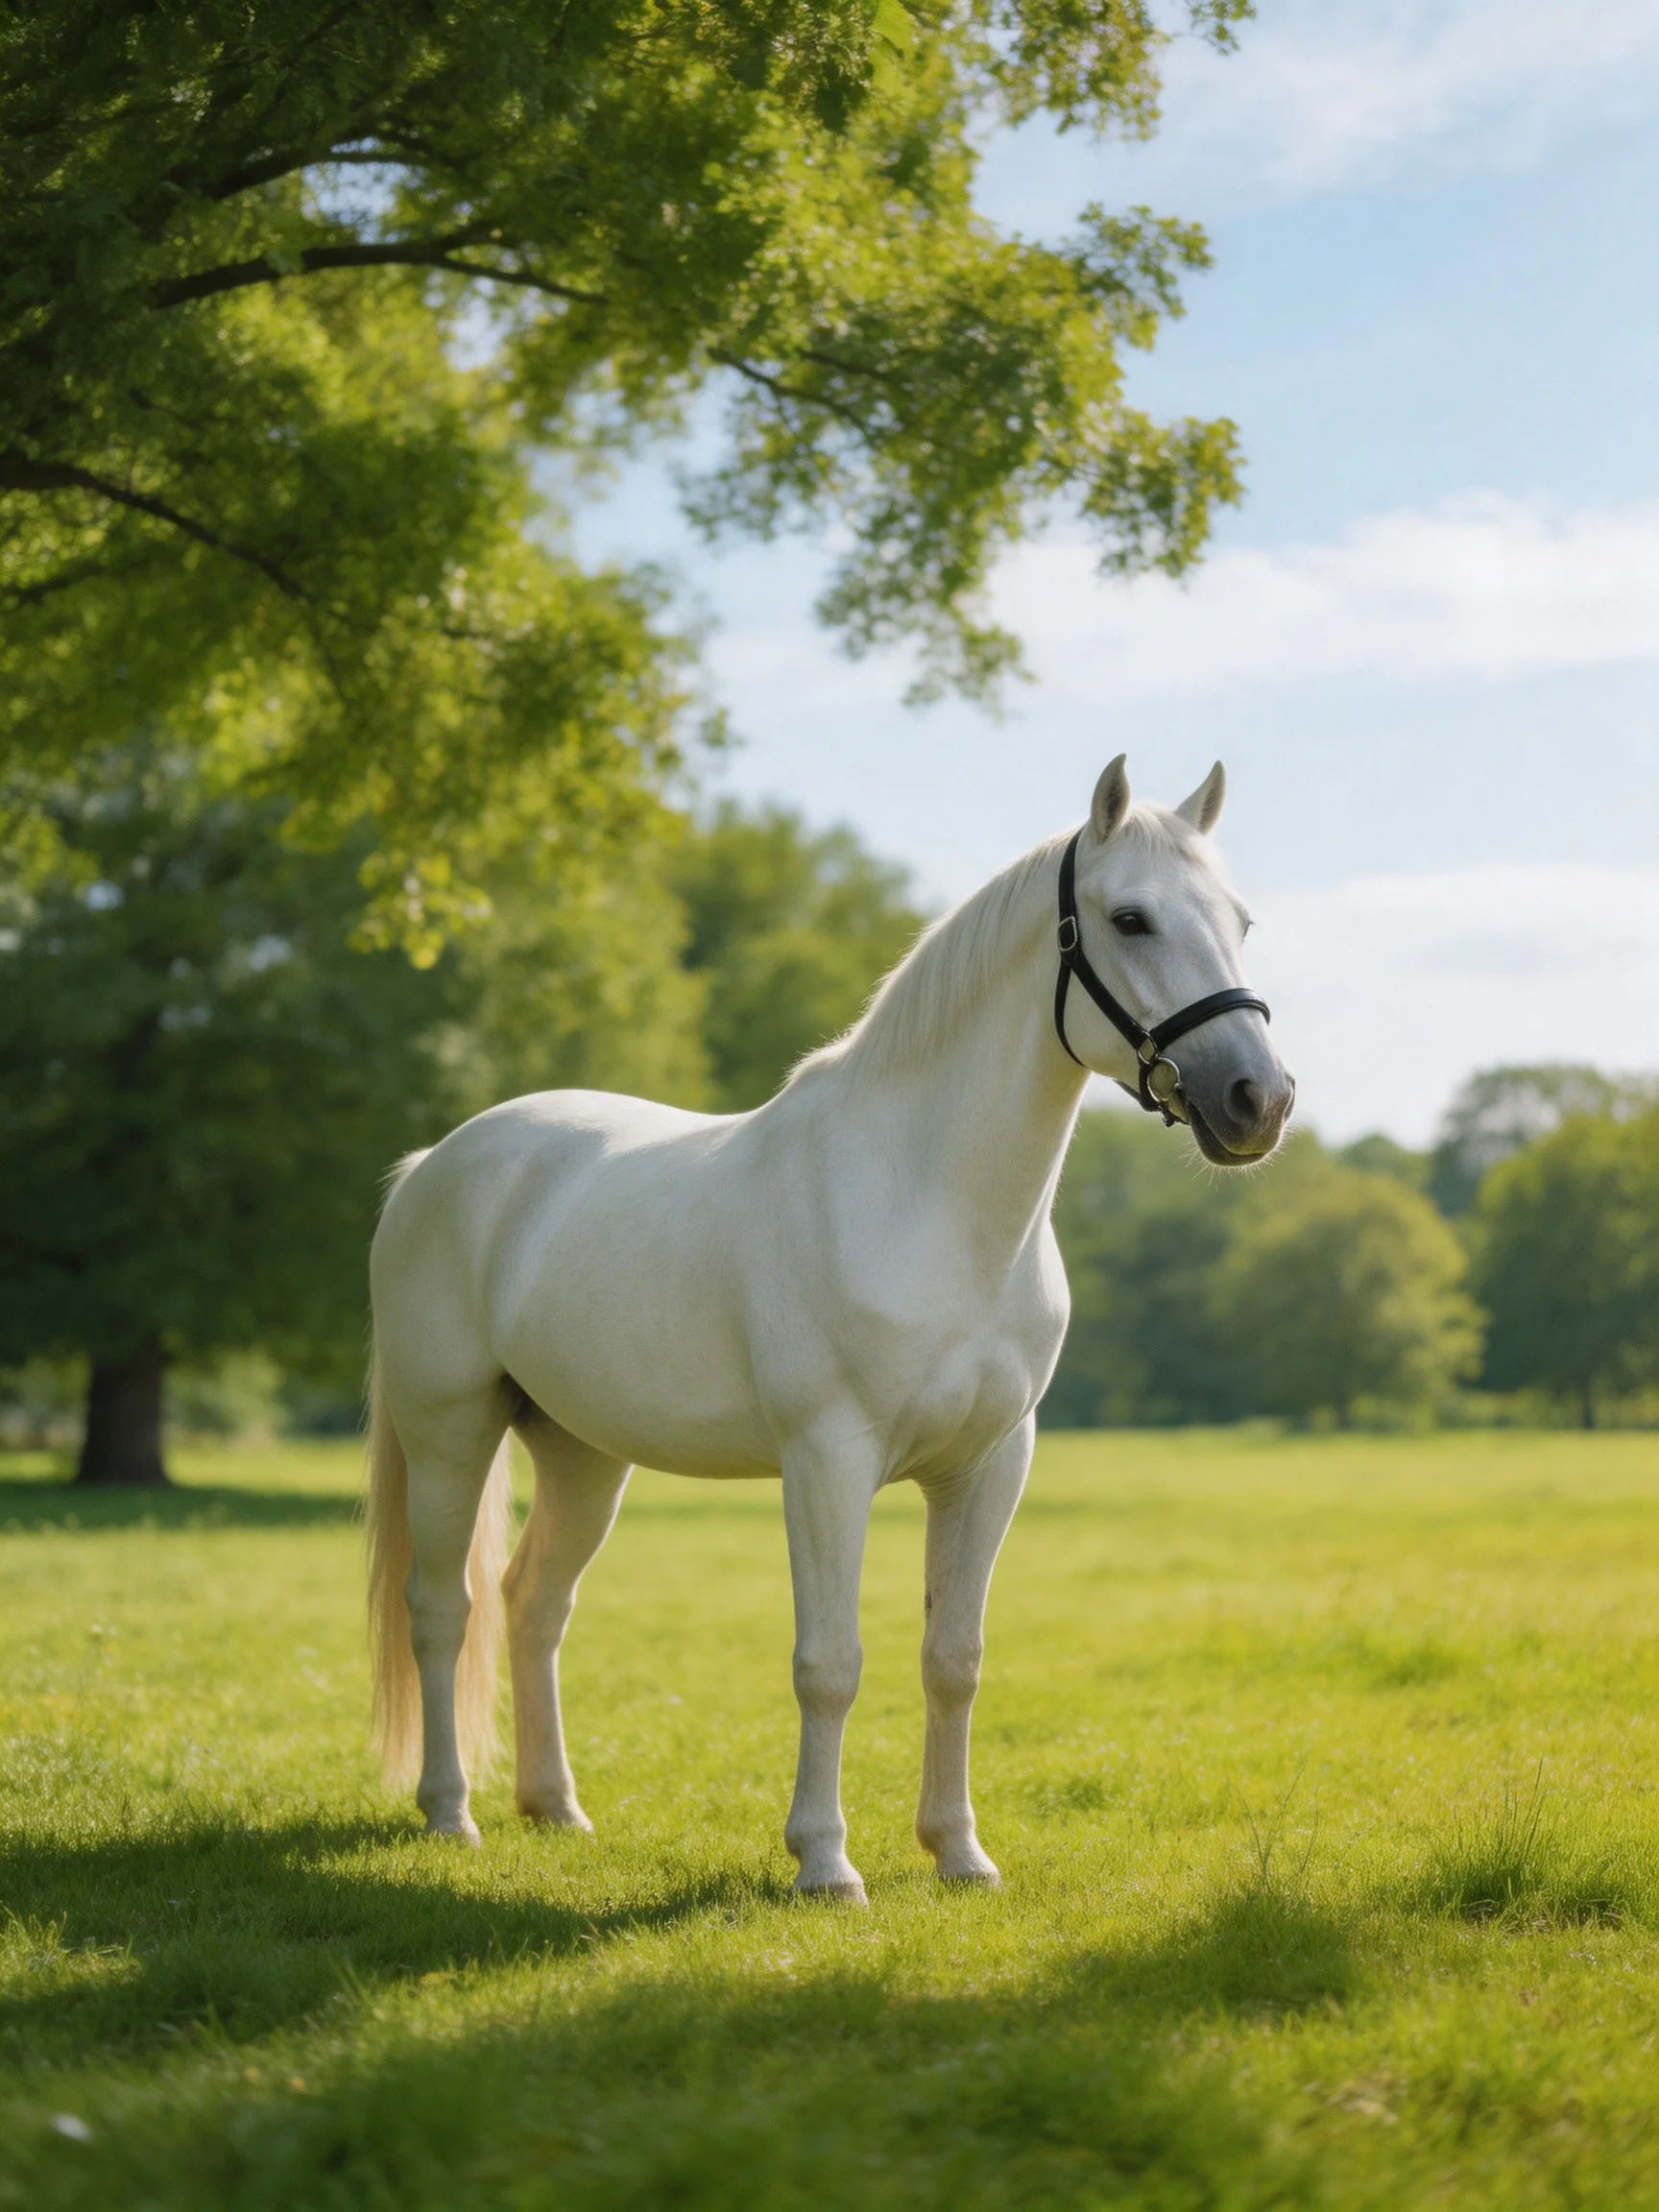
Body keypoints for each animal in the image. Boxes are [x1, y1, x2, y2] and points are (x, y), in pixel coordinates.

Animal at [365, 755, 1294, 1900]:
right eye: (1130, 918)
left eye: (1239, 920)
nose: (1258, 1100)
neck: (927, 1202)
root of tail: (433, 1166)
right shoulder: (827, 1461)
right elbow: (830, 1664)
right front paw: (825, 1863)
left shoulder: (992, 1464)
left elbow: (954, 1660)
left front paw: (960, 1854)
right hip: (449, 1434)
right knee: (443, 1609)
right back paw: (451, 1814)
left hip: (582, 1453)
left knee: (533, 1605)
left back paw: (556, 1809)